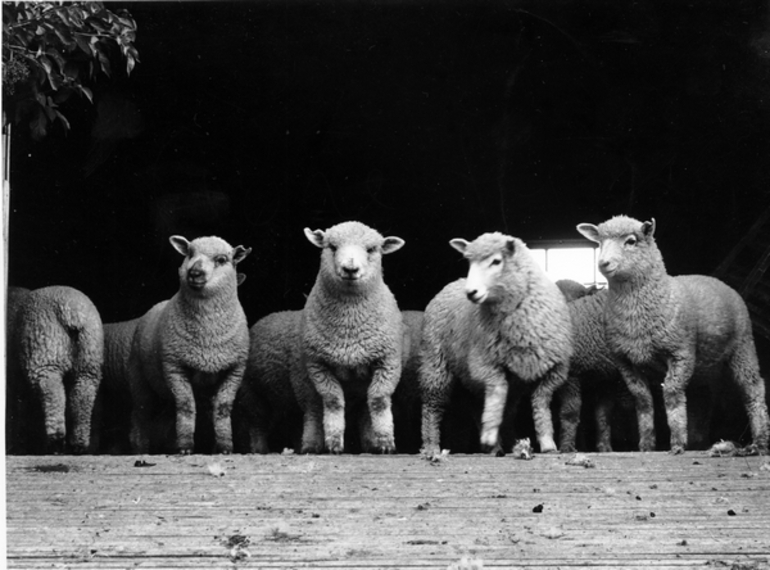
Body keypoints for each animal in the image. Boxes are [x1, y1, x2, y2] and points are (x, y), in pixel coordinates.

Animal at [4, 284, 104, 452]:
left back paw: (56, 440)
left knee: (53, 393)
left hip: (45, 356)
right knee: (82, 397)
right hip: (89, 361)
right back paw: (79, 443)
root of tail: (73, 310)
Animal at [127, 234, 250, 452]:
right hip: (138, 379)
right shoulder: (174, 366)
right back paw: (141, 448)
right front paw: (185, 447)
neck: (208, 340)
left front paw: (224, 446)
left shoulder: (234, 370)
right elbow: (185, 405)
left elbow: (222, 408)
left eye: (222, 259)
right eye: (190, 253)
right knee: (141, 414)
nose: (194, 272)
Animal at [296, 220, 404, 450]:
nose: (350, 268)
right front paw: (334, 442)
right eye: (332, 246)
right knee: (314, 409)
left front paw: (385, 442)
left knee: (366, 407)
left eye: (371, 249)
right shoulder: (318, 365)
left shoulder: (388, 362)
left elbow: (379, 400)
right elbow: (333, 401)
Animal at [416, 231, 572, 452]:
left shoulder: (555, 368)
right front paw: (490, 433)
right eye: (469, 262)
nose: (471, 292)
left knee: (482, 407)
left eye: (496, 261)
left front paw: (547, 442)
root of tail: (453, 284)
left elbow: (540, 401)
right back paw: (432, 446)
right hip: (435, 364)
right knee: (432, 407)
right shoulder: (484, 364)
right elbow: (498, 392)